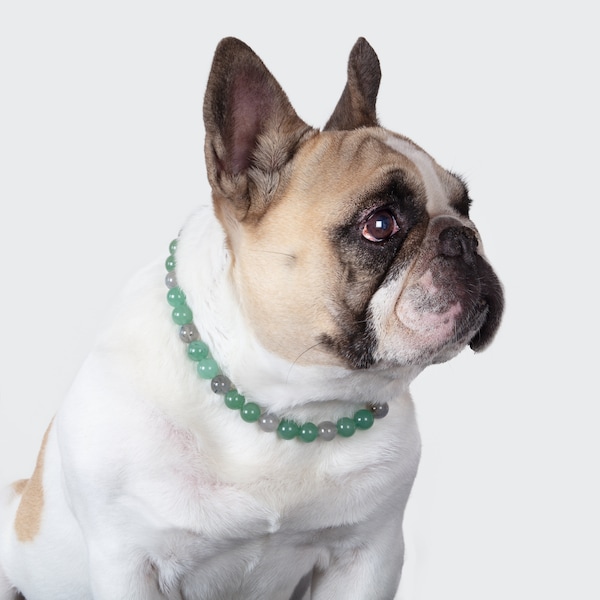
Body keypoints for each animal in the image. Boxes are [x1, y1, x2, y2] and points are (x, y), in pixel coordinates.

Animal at [0, 37, 504, 600]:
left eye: (467, 206)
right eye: (381, 224)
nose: (464, 238)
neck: (288, 405)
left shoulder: (369, 555)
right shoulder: (128, 562)